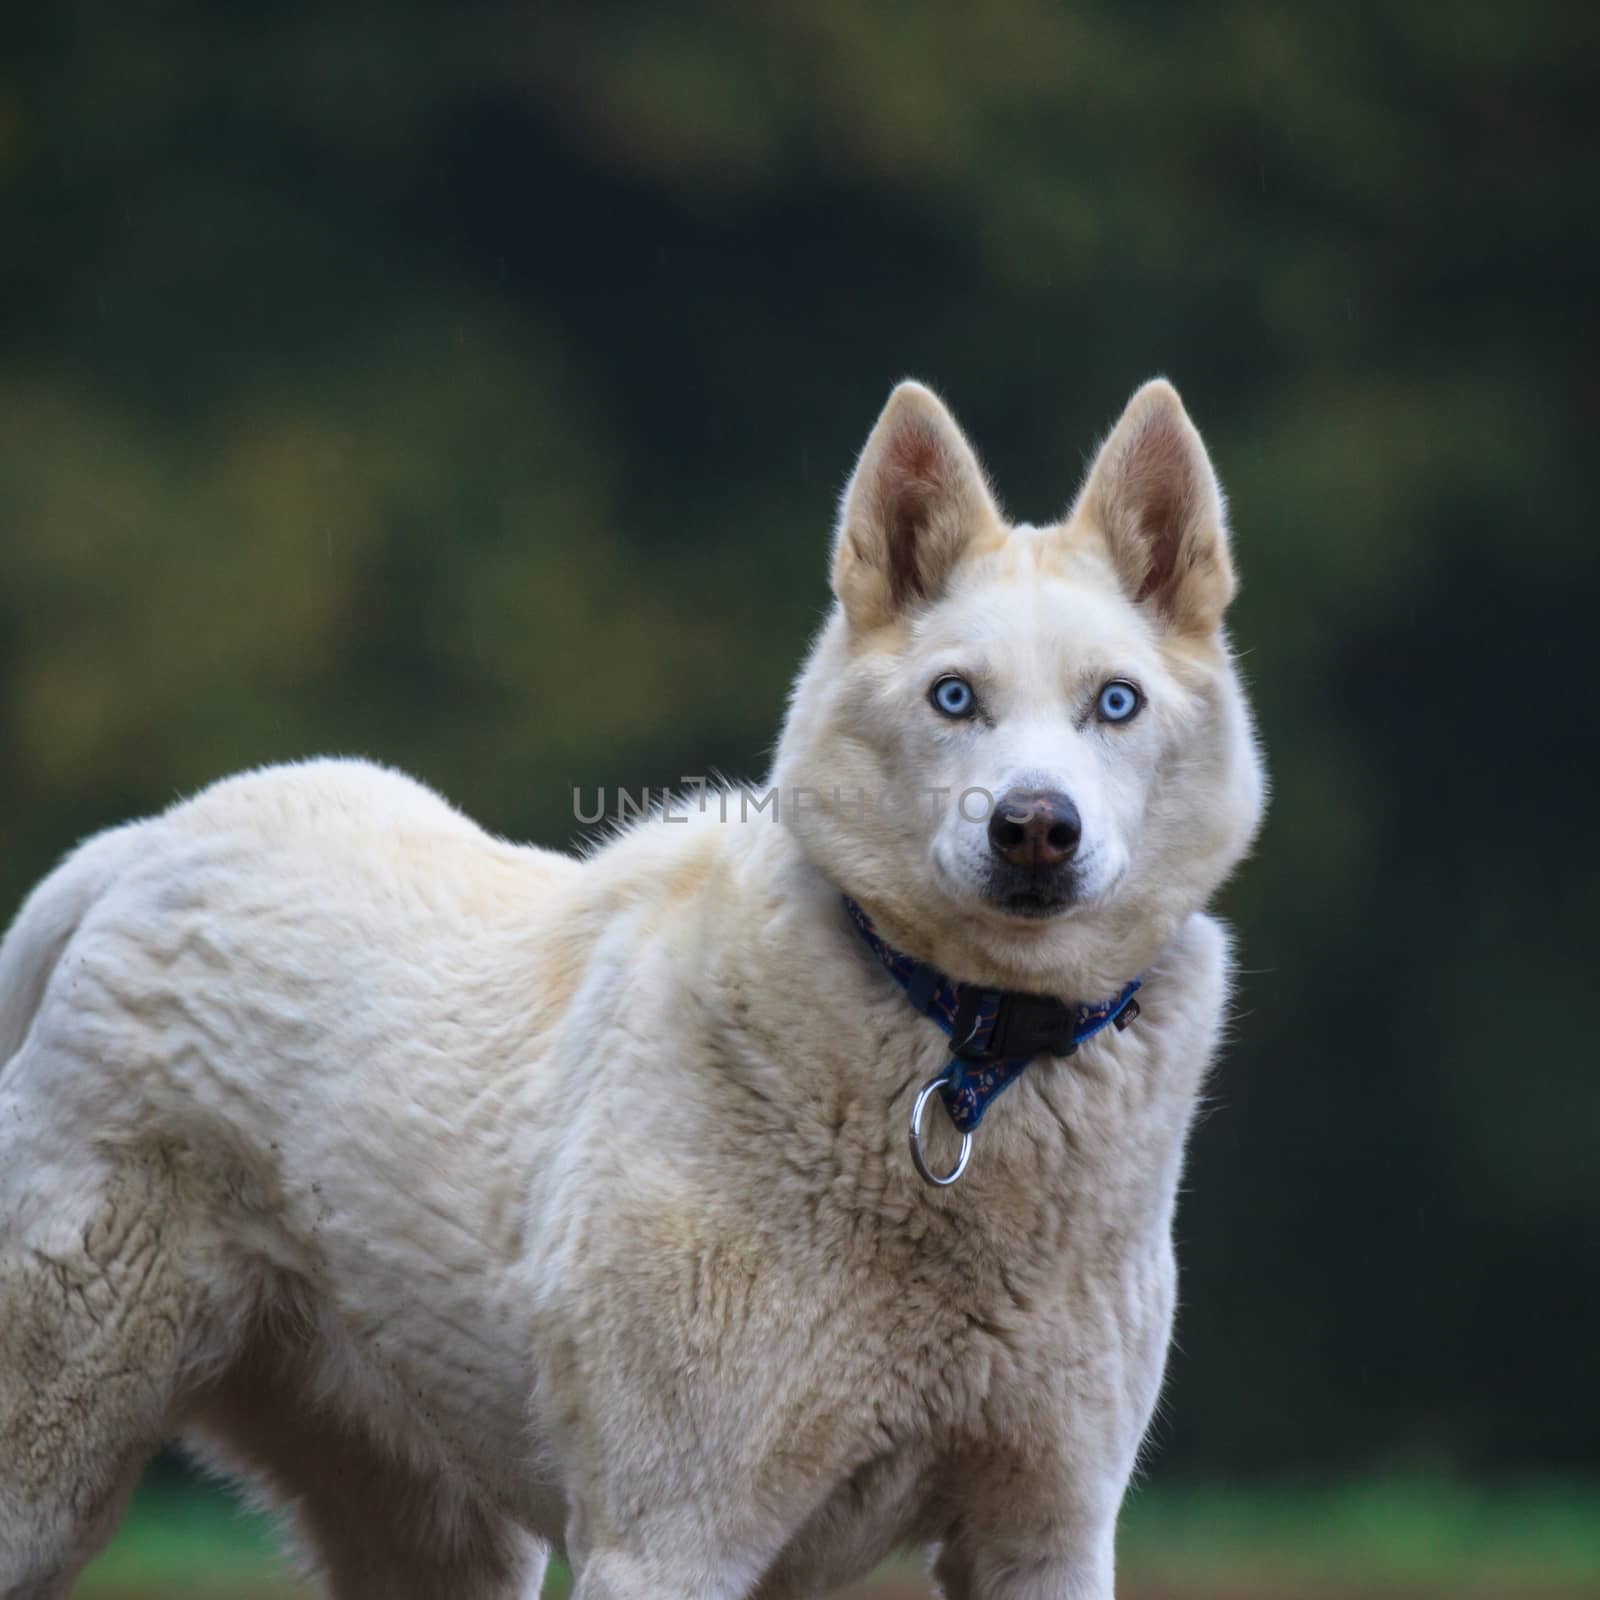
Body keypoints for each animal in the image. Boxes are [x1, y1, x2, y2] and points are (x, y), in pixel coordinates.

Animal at [6, 377, 1267, 1600]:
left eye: (1115, 703)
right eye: (954, 698)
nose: (1035, 828)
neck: (965, 1048)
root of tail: (138, 846)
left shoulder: (1045, 1536)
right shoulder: (669, 1540)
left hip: (440, 1535)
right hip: (52, 1466)